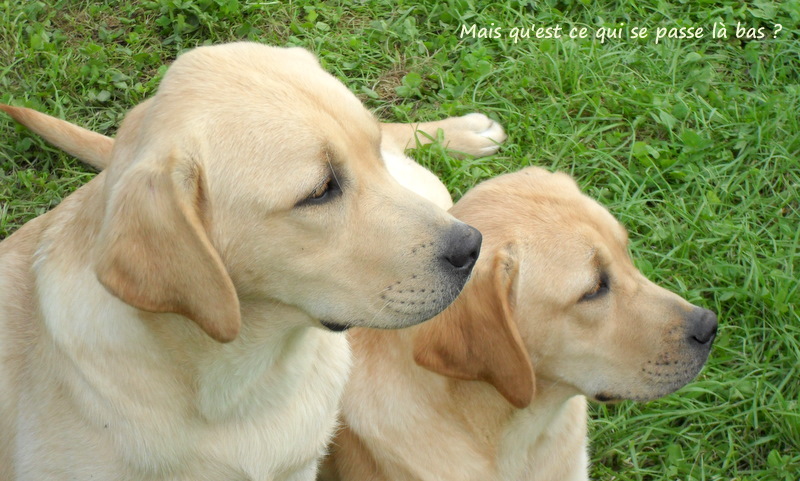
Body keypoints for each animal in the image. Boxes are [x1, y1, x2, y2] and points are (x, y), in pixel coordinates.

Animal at [0, 42, 510, 480]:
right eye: (319, 191)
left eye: (366, 158)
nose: (472, 247)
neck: (245, 382)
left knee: (398, 136)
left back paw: (465, 131)